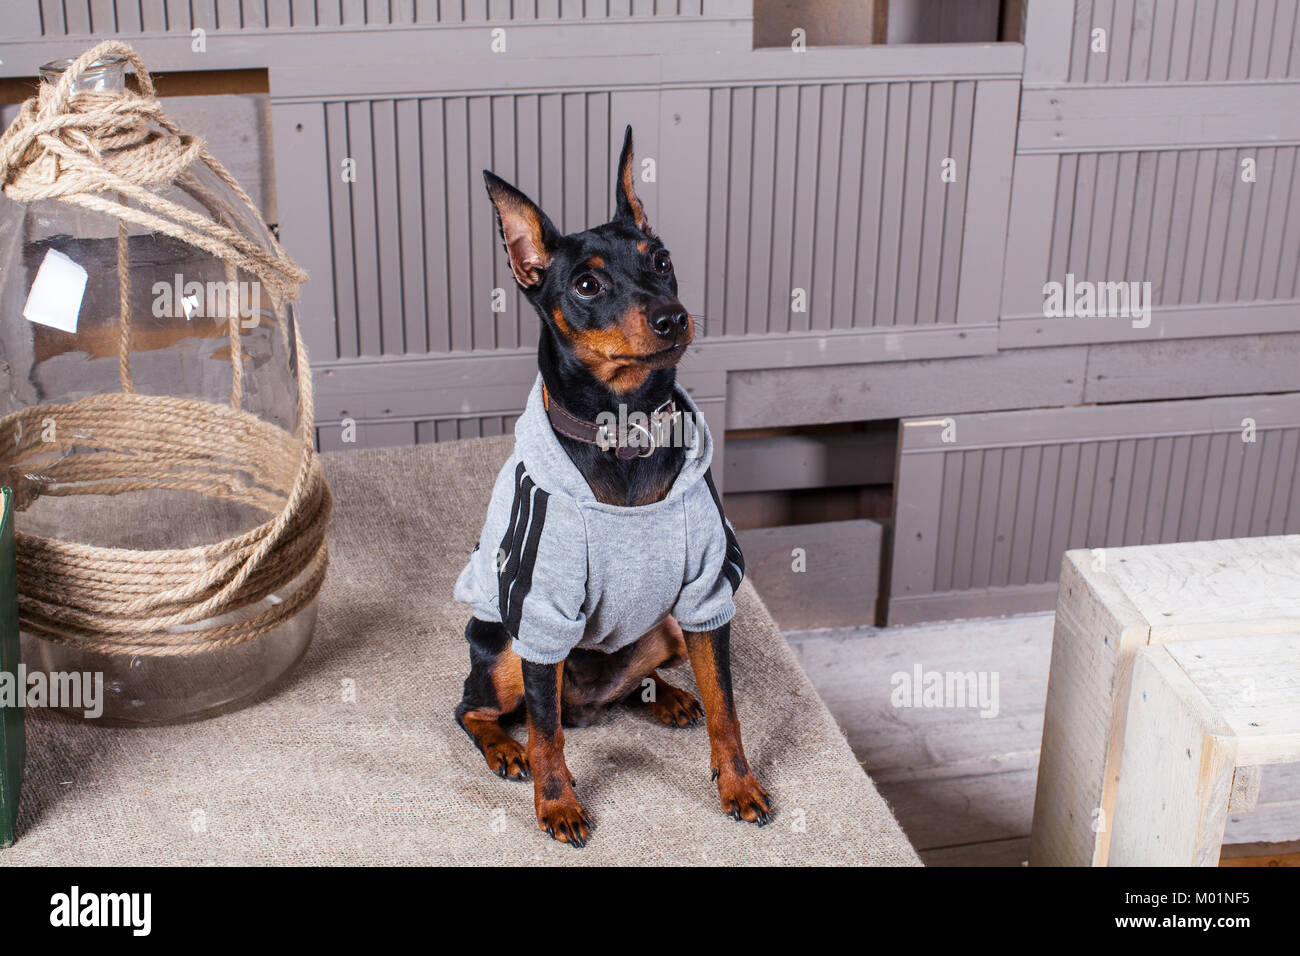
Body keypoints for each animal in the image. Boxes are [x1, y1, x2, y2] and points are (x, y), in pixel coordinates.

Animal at [452, 125, 764, 842]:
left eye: (663, 261)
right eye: (587, 284)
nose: (673, 317)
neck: (625, 436)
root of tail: (587, 704)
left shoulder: (708, 595)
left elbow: (726, 706)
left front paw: (738, 784)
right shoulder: (540, 614)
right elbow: (546, 738)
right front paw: (558, 804)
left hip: (668, 628)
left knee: (635, 689)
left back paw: (669, 698)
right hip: (504, 649)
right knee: (481, 711)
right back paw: (506, 749)